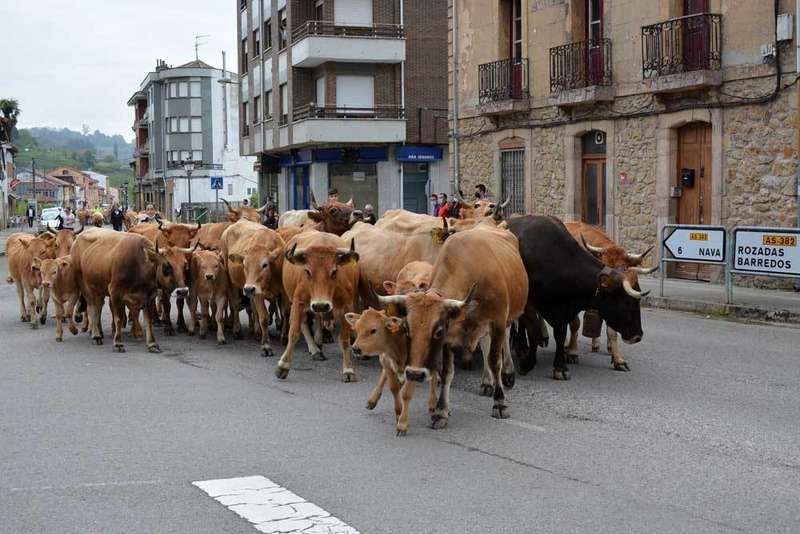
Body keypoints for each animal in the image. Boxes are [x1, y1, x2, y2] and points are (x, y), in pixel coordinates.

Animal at [221, 219, 285, 356]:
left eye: (265, 265)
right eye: (244, 265)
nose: (248, 289)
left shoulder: (283, 293)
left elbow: (285, 313)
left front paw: (284, 337)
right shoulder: (258, 293)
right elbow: (264, 318)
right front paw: (266, 346)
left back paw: (256, 331)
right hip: (232, 282)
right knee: (235, 305)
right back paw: (238, 330)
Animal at [274, 231, 361, 382]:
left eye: (334, 271)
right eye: (308, 271)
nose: (321, 304)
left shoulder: (346, 307)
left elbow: (345, 339)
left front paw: (348, 369)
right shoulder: (298, 302)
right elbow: (294, 333)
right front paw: (283, 366)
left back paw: (318, 344)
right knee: (304, 323)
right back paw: (315, 349)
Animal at [373, 222, 527, 430]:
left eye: (437, 332)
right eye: (406, 328)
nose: (414, 373)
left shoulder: (497, 322)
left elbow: (495, 361)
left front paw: (500, 403)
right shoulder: (450, 335)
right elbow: (446, 372)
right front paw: (441, 411)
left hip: (507, 318)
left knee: (502, 344)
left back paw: (508, 374)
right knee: (484, 344)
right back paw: (487, 382)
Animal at [507, 215, 648, 380]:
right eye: (627, 303)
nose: (638, 336)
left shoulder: (564, 307)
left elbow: (561, 334)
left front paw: (560, 367)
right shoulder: (530, 303)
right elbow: (536, 329)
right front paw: (527, 364)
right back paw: (522, 347)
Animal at [563, 222, 657, 370]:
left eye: (624, 267)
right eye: (605, 265)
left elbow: (612, 331)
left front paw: (618, 359)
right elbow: (574, 324)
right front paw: (572, 352)